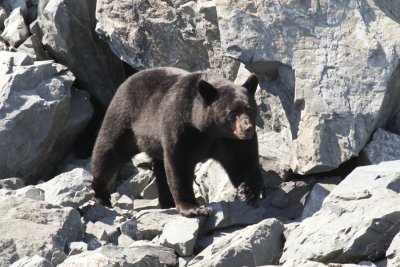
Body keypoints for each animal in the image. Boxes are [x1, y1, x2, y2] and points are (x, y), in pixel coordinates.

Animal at [92, 67, 264, 218]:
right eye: (231, 113)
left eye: (249, 108)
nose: (247, 128)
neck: (209, 131)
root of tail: (126, 81)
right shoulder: (181, 127)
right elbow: (179, 164)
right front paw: (193, 208)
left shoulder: (231, 140)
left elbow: (242, 161)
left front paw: (248, 192)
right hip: (125, 119)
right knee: (108, 151)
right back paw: (101, 195)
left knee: (160, 168)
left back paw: (166, 201)